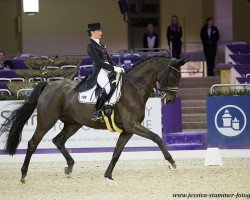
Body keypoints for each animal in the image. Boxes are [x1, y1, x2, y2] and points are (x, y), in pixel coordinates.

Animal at [0, 55, 187, 183]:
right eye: (172, 76)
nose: (170, 100)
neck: (134, 88)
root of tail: (50, 84)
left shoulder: (127, 130)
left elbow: (116, 153)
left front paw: (108, 175)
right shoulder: (132, 125)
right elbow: (156, 137)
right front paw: (172, 162)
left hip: (73, 124)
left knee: (58, 140)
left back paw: (69, 166)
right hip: (47, 121)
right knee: (33, 143)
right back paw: (23, 175)